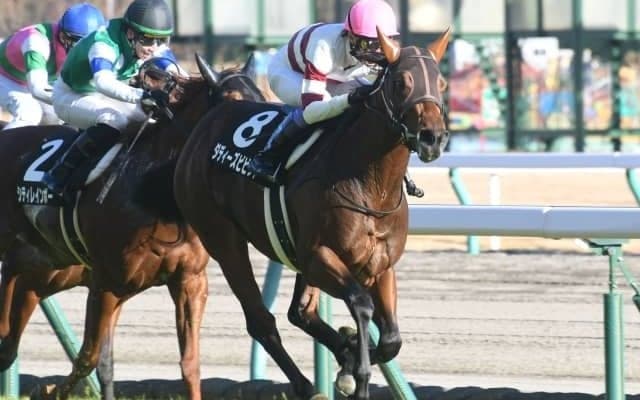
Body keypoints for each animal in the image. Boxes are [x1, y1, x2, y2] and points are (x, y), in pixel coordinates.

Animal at [0, 54, 265, 400]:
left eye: (261, 98)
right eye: (232, 100)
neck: (153, 193)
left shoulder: (189, 280)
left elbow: (189, 363)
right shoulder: (107, 284)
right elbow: (93, 359)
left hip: (44, 273)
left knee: (10, 335)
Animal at [137, 27, 451, 400]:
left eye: (442, 82)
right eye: (402, 82)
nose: (433, 137)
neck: (371, 182)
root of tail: (206, 122)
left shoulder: (380, 264)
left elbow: (390, 340)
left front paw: (349, 358)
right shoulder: (318, 256)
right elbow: (361, 305)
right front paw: (355, 372)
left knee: (300, 312)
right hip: (223, 239)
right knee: (261, 320)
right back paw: (307, 386)